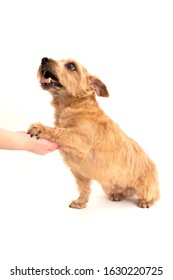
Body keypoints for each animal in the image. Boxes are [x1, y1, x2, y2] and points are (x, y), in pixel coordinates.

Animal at [27, 57, 160, 209]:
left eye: (71, 66)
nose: (44, 59)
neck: (75, 105)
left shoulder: (80, 139)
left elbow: (61, 132)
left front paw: (40, 128)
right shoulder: (78, 172)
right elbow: (83, 188)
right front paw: (81, 201)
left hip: (146, 187)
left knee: (155, 195)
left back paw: (147, 201)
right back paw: (117, 194)